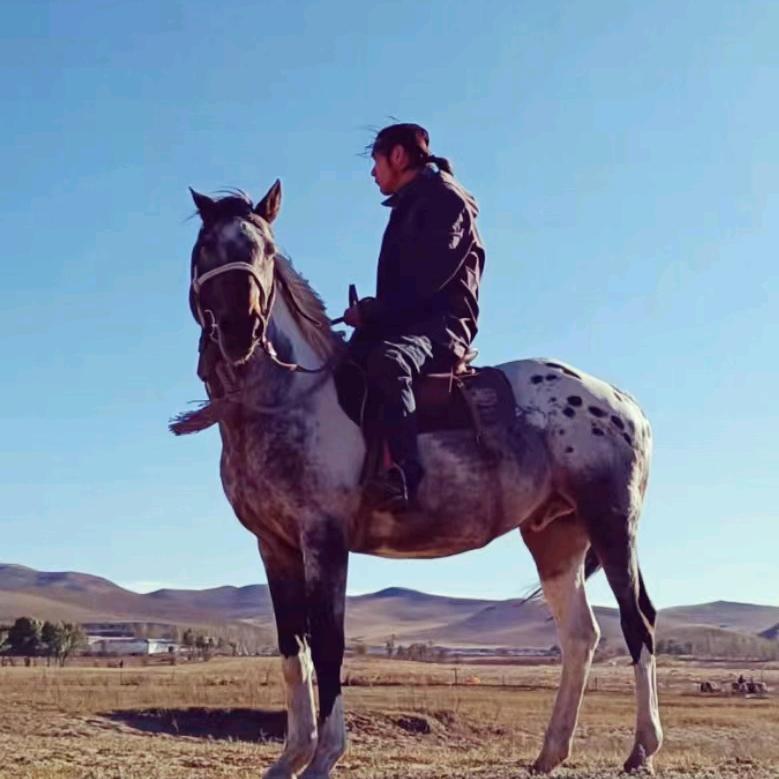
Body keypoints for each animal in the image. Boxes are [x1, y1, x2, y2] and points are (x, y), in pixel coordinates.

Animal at [172, 180, 663, 777]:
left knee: (638, 623)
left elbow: (329, 645)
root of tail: (623, 402)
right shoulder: (274, 545)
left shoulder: (324, 539)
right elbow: (294, 652)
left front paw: (325, 756)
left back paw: (642, 748)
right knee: (580, 636)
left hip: (612, 523)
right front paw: (290, 757)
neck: (286, 399)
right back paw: (550, 753)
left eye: (265, 248)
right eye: (205, 248)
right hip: (555, 537)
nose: (242, 329)